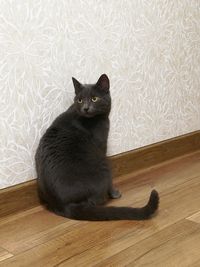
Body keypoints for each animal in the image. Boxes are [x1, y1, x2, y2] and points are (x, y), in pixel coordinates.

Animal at [35, 74, 159, 221]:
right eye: (80, 100)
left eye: (94, 98)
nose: (85, 108)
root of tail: (64, 205)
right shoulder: (101, 146)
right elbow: (111, 181)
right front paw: (115, 193)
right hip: (102, 164)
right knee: (96, 199)